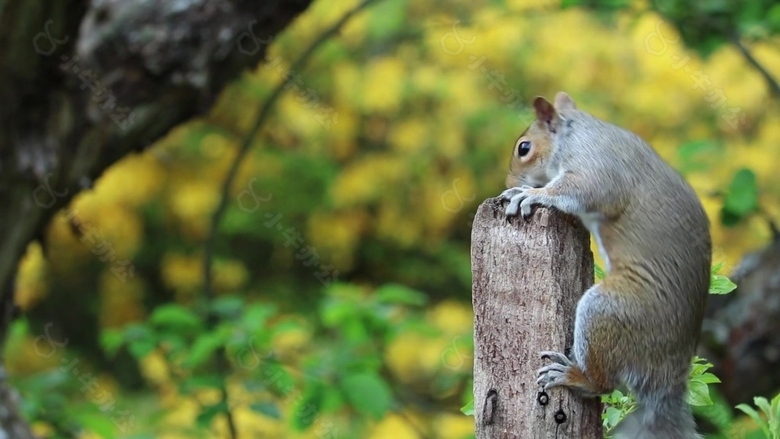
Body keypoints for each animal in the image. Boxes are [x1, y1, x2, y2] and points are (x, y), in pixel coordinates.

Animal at [500, 91, 712, 438]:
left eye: (524, 148)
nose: (508, 180)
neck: (576, 132)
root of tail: (668, 376)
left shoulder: (595, 166)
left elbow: (581, 190)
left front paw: (529, 192)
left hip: (609, 309)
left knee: (603, 384)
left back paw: (574, 376)